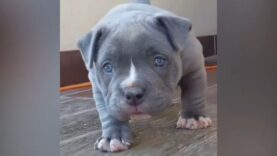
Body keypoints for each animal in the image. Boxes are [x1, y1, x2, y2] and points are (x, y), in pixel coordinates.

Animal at [76, 0, 210, 152]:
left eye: (159, 60)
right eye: (108, 67)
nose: (133, 94)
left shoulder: (195, 69)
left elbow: (194, 94)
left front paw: (193, 118)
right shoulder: (99, 88)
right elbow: (108, 112)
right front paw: (114, 137)